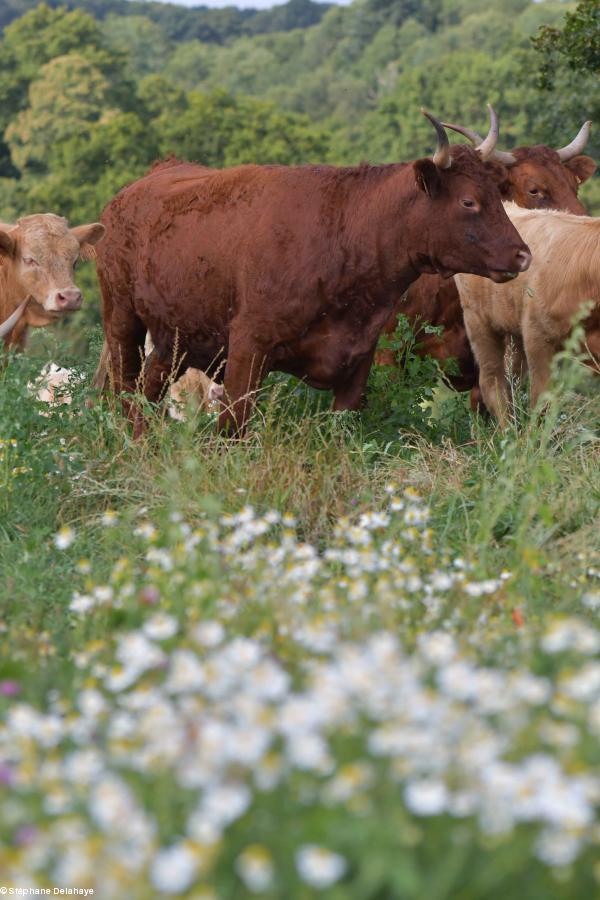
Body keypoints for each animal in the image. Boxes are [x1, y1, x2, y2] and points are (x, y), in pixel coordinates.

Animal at [95, 109, 528, 436]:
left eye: (497, 194)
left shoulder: (358, 361)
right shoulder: (248, 348)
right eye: (468, 201)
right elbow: (232, 429)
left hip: (177, 336)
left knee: (148, 387)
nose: (523, 255)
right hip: (121, 319)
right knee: (124, 389)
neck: (343, 233)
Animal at [454, 204, 600, 426]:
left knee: (511, 378)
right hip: (478, 321)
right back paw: (508, 431)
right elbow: (542, 397)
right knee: (492, 382)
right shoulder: (538, 333)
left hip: (514, 330)